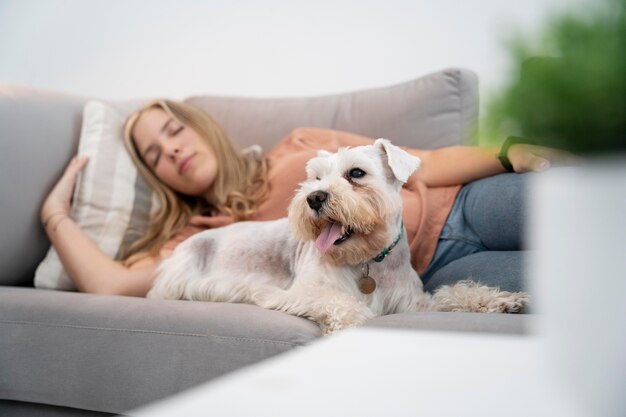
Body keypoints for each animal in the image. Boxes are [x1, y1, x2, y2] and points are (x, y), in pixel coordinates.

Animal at [150, 140, 528, 334]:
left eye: (356, 173)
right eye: (315, 177)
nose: (314, 197)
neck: (366, 261)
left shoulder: (414, 303)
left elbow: (454, 294)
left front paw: (501, 300)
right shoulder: (298, 292)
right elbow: (343, 303)